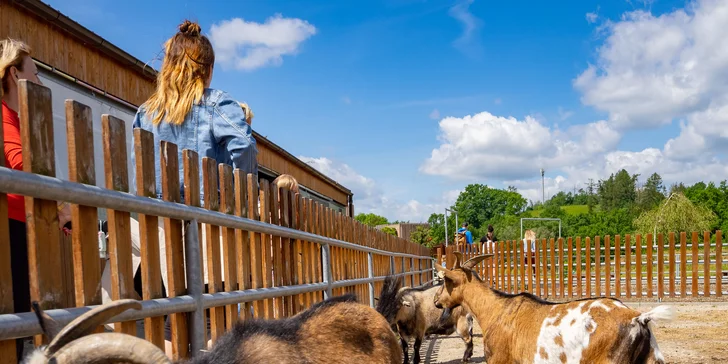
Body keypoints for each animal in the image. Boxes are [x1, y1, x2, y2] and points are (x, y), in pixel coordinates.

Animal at [430, 253, 672, 364]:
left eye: (445, 281)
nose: (436, 300)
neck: (495, 310)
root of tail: (638, 318)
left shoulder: (499, 359)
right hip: (652, 358)